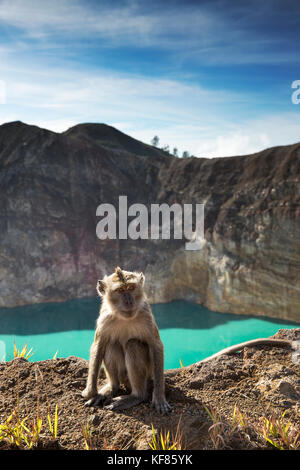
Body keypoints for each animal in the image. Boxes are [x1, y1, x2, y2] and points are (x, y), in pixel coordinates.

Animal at [81, 266, 171, 414]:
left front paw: (159, 397)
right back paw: (112, 387)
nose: (128, 301)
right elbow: (99, 345)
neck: (124, 318)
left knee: (133, 345)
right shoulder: (105, 318)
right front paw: (91, 391)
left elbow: (156, 346)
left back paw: (136, 396)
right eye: (120, 291)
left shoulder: (145, 315)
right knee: (112, 345)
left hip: (148, 374)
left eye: (130, 287)